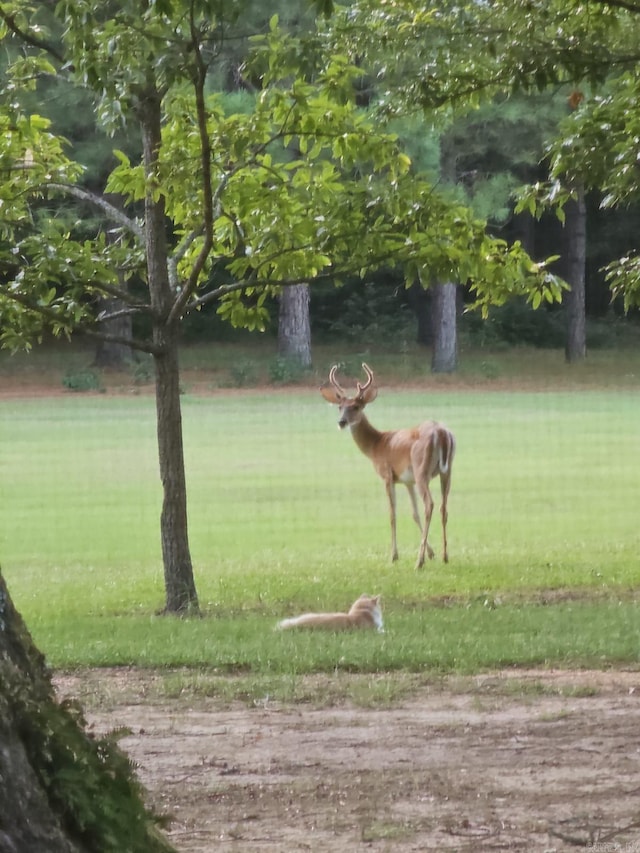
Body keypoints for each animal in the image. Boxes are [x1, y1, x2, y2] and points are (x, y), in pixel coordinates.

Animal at [320, 362, 456, 568]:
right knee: (443, 508)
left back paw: (419, 562)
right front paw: (431, 553)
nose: (341, 422)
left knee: (430, 504)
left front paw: (394, 555)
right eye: (340, 407)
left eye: (356, 406)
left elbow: (392, 514)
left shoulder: (387, 475)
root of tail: (441, 433)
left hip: (421, 469)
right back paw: (445, 556)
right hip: (446, 472)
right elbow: (414, 513)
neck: (377, 445)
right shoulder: (407, 481)